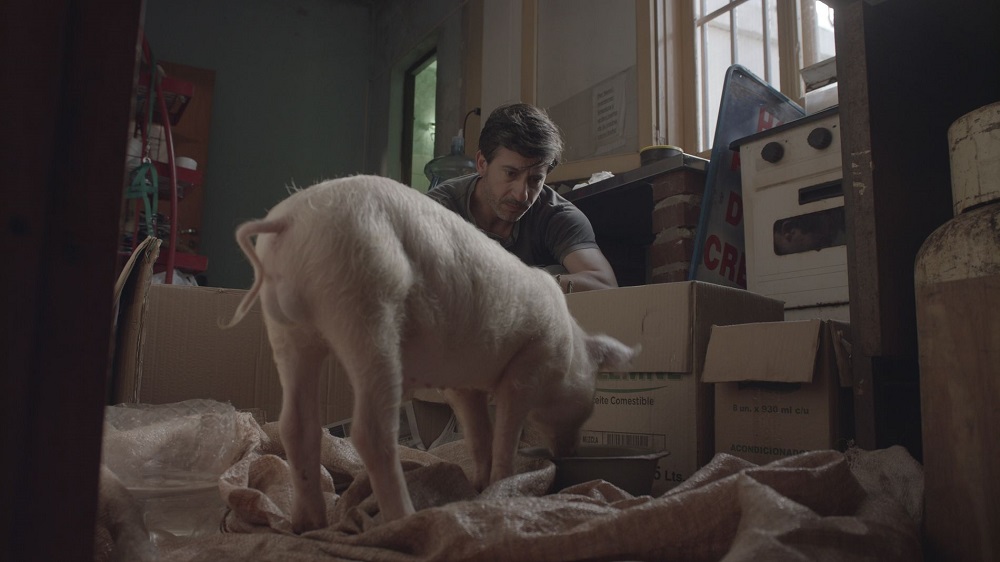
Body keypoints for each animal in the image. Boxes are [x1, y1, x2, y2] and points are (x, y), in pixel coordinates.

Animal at [226, 175, 636, 531]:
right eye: (592, 397)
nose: (570, 451)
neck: (568, 351)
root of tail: (292, 219)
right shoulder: (527, 366)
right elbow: (506, 432)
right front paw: (501, 487)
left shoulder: (462, 384)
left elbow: (479, 434)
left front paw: (478, 487)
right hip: (367, 304)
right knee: (369, 430)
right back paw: (406, 518)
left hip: (286, 326)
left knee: (296, 424)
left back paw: (306, 525)